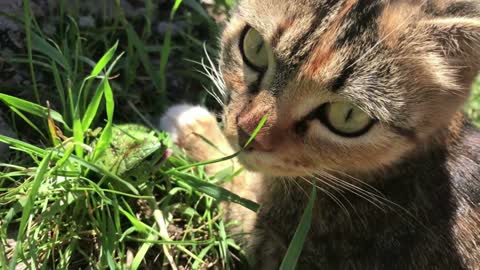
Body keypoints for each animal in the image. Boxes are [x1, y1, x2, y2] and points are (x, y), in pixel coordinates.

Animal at [160, 0, 480, 268]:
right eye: (254, 47)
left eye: (348, 116)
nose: (247, 133)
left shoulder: (281, 245)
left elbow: (234, 188)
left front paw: (195, 130)